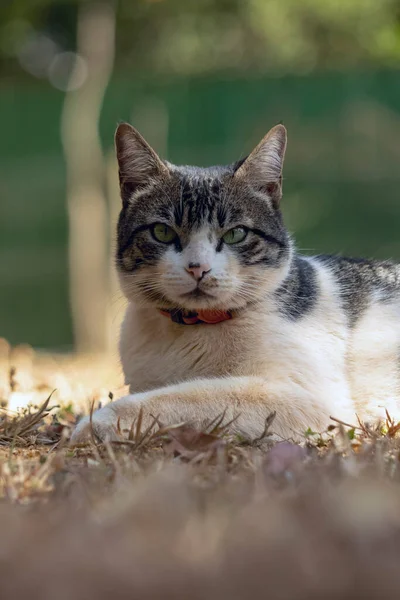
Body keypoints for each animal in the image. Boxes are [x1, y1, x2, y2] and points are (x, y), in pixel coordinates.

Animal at [71, 122, 400, 442]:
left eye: (235, 234)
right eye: (162, 232)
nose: (198, 268)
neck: (189, 329)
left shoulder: (312, 402)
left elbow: (190, 396)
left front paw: (96, 422)